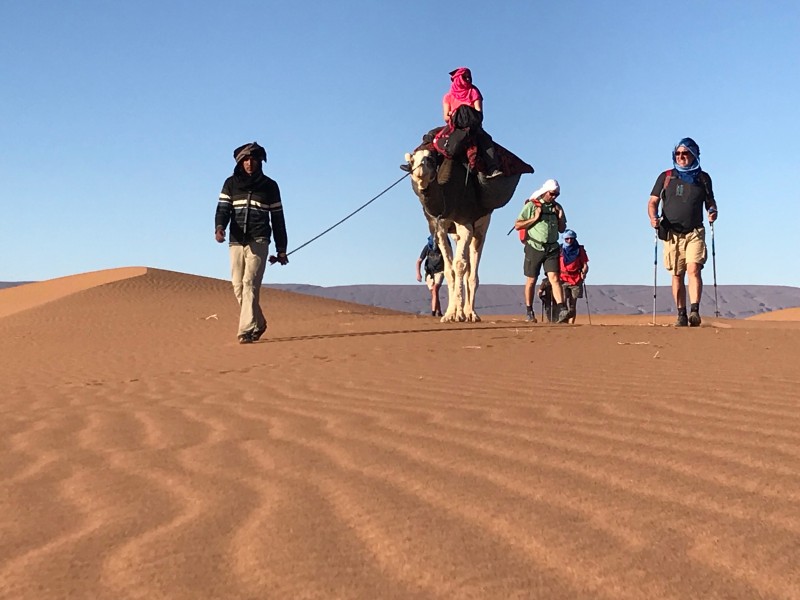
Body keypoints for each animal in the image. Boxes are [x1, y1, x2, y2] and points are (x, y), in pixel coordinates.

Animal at [406, 138, 532, 322]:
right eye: (412, 161)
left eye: (430, 159)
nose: (420, 171)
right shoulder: (439, 227)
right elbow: (449, 270)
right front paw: (450, 315)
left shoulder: (465, 223)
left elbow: (459, 265)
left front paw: (459, 315)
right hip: (457, 234)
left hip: (482, 227)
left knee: (472, 270)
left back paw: (471, 313)